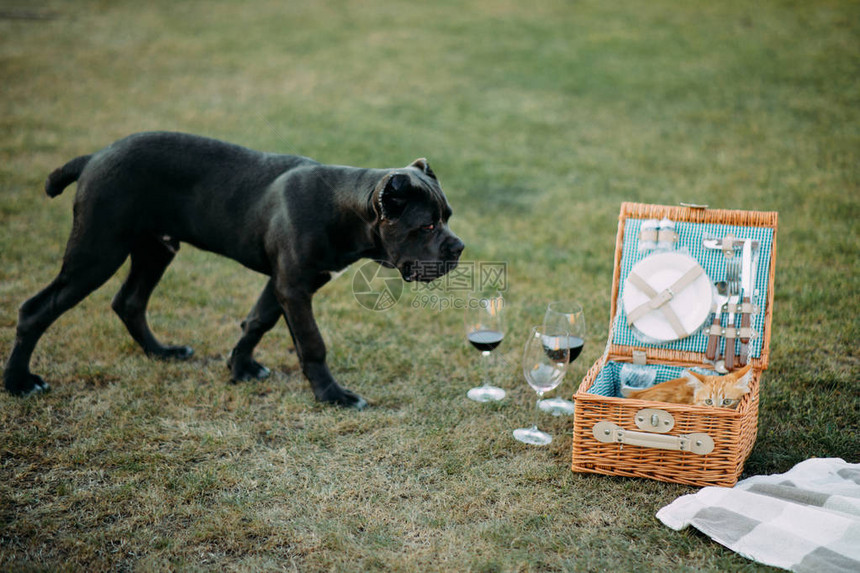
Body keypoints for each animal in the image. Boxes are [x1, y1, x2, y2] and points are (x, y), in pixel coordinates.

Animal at [5, 132, 464, 406]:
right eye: (426, 225)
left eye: (448, 216)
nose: (459, 247)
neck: (344, 208)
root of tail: (94, 157)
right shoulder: (294, 286)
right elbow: (312, 344)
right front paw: (332, 395)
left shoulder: (283, 282)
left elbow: (257, 321)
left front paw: (240, 368)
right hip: (97, 253)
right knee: (35, 309)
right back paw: (18, 382)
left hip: (155, 248)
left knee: (129, 302)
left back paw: (163, 353)